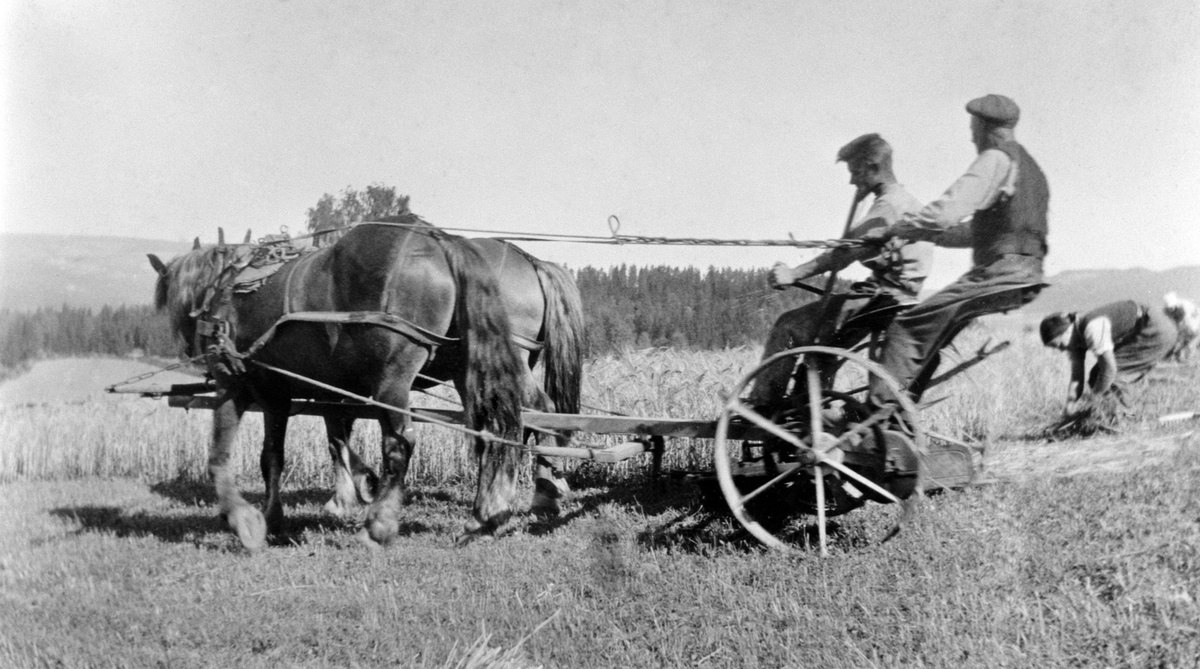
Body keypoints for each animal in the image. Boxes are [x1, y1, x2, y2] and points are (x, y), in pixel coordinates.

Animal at [148, 223, 525, 553]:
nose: (190, 349)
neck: (222, 287)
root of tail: (439, 241)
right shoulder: (282, 394)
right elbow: (275, 455)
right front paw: (276, 517)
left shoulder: (235, 384)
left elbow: (220, 457)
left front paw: (243, 520)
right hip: (467, 372)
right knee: (488, 435)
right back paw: (482, 521)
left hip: (393, 380)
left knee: (399, 446)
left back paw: (378, 527)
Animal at [316, 225, 583, 520]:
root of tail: (530, 260)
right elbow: (342, 427)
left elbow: (335, 432)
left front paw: (346, 496)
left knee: (540, 410)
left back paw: (542, 496)